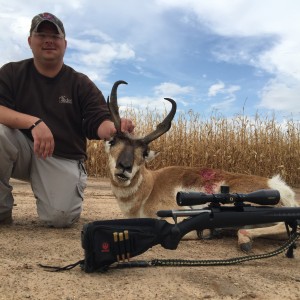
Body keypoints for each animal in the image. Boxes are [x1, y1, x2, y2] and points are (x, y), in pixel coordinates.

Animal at [104, 79, 296, 251]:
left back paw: (243, 240)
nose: (124, 167)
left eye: (144, 152)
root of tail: (277, 185)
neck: (150, 186)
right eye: (113, 141)